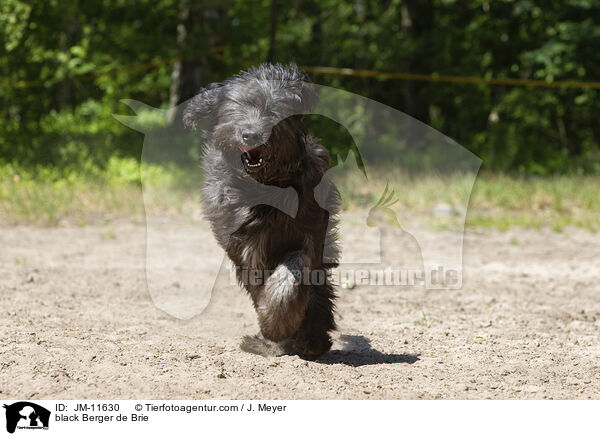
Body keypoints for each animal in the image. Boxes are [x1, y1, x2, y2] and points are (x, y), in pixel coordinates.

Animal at [183, 63, 340, 360]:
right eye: (240, 105)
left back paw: (312, 337)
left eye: (274, 110)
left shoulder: (310, 232)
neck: (265, 187)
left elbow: (294, 272)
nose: (252, 134)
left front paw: (279, 326)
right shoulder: (245, 244)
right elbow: (260, 281)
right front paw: (274, 332)